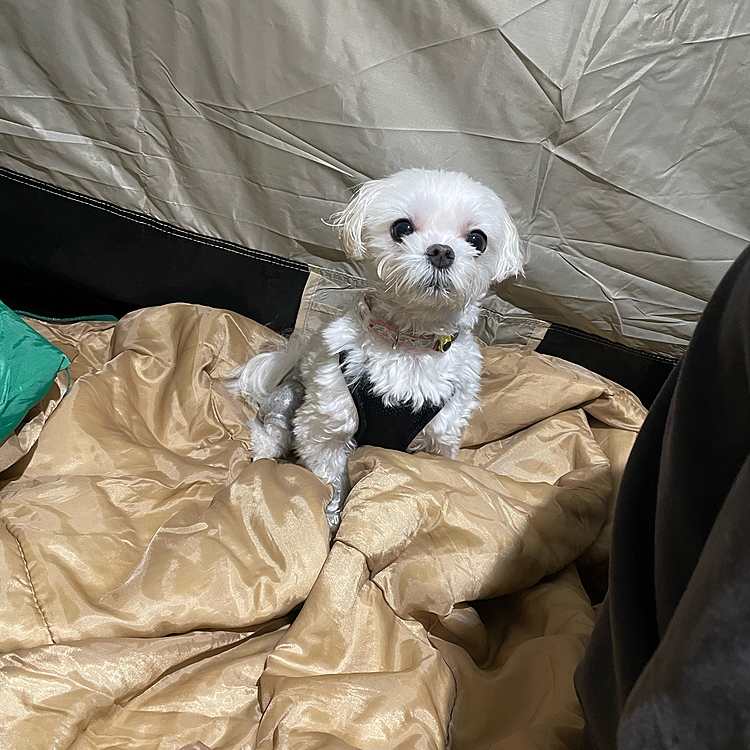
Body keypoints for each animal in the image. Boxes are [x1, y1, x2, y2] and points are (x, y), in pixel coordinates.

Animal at [229, 170, 524, 536]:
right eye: (402, 227)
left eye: (477, 239)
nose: (441, 251)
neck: (408, 342)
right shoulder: (328, 424)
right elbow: (332, 476)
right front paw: (332, 516)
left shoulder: (439, 436)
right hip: (289, 400)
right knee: (270, 434)